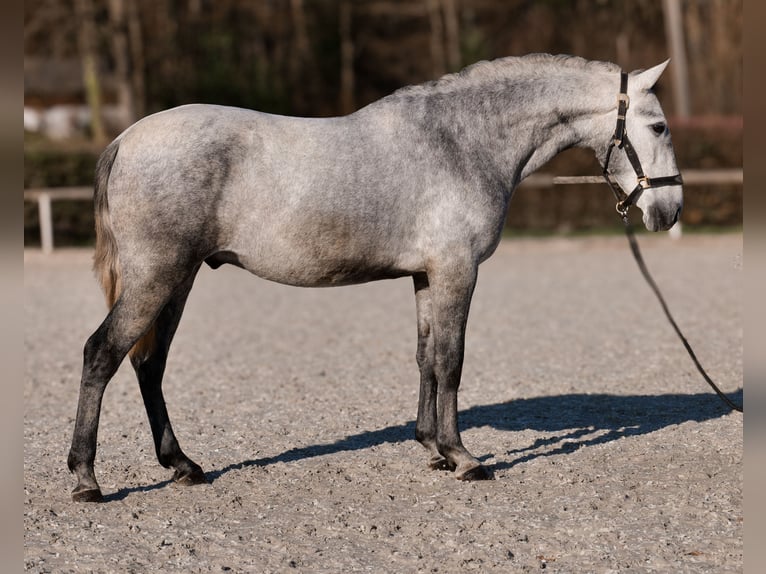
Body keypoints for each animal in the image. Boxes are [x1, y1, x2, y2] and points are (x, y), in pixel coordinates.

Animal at [67, 54, 683, 502]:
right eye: (658, 125)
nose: (670, 210)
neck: (462, 141)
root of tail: (126, 139)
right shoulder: (457, 272)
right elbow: (452, 360)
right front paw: (464, 459)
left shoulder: (428, 276)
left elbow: (427, 357)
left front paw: (433, 448)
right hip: (158, 275)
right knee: (103, 353)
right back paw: (87, 479)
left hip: (179, 278)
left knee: (149, 363)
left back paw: (182, 465)